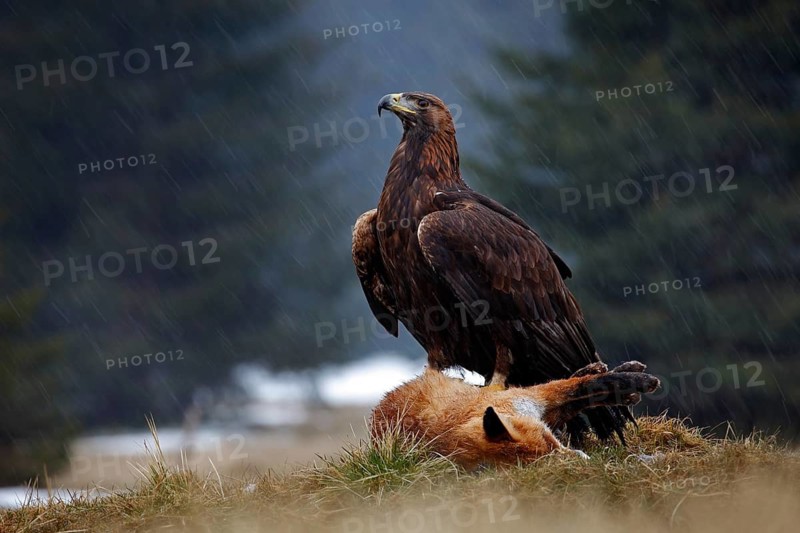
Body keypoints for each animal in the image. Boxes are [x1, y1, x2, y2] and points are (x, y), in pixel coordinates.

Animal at [371, 361, 660, 468]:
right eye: (549, 453)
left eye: (550, 442)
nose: (583, 460)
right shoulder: (533, 403)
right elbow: (580, 391)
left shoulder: (529, 400)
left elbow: (583, 386)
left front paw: (634, 380)